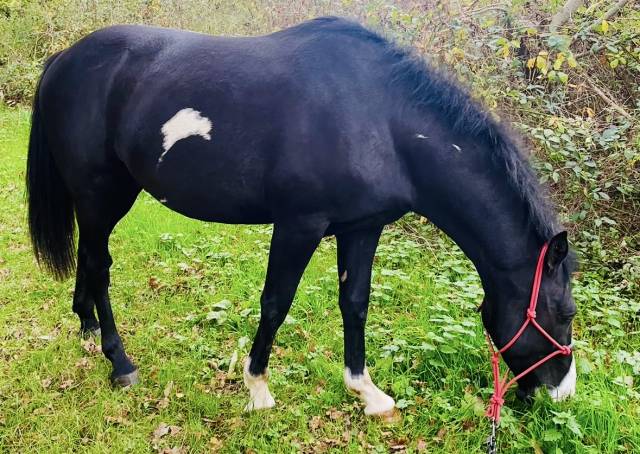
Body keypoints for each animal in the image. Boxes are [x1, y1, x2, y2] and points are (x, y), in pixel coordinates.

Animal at [26, 16, 577, 416]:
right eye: (566, 314)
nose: (561, 393)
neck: (381, 119)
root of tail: (65, 58)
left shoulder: (363, 227)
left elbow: (355, 303)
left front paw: (367, 392)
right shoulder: (299, 225)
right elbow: (276, 303)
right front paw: (258, 389)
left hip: (102, 199)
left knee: (89, 260)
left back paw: (86, 327)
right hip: (101, 195)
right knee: (99, 266)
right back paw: (119, 362)